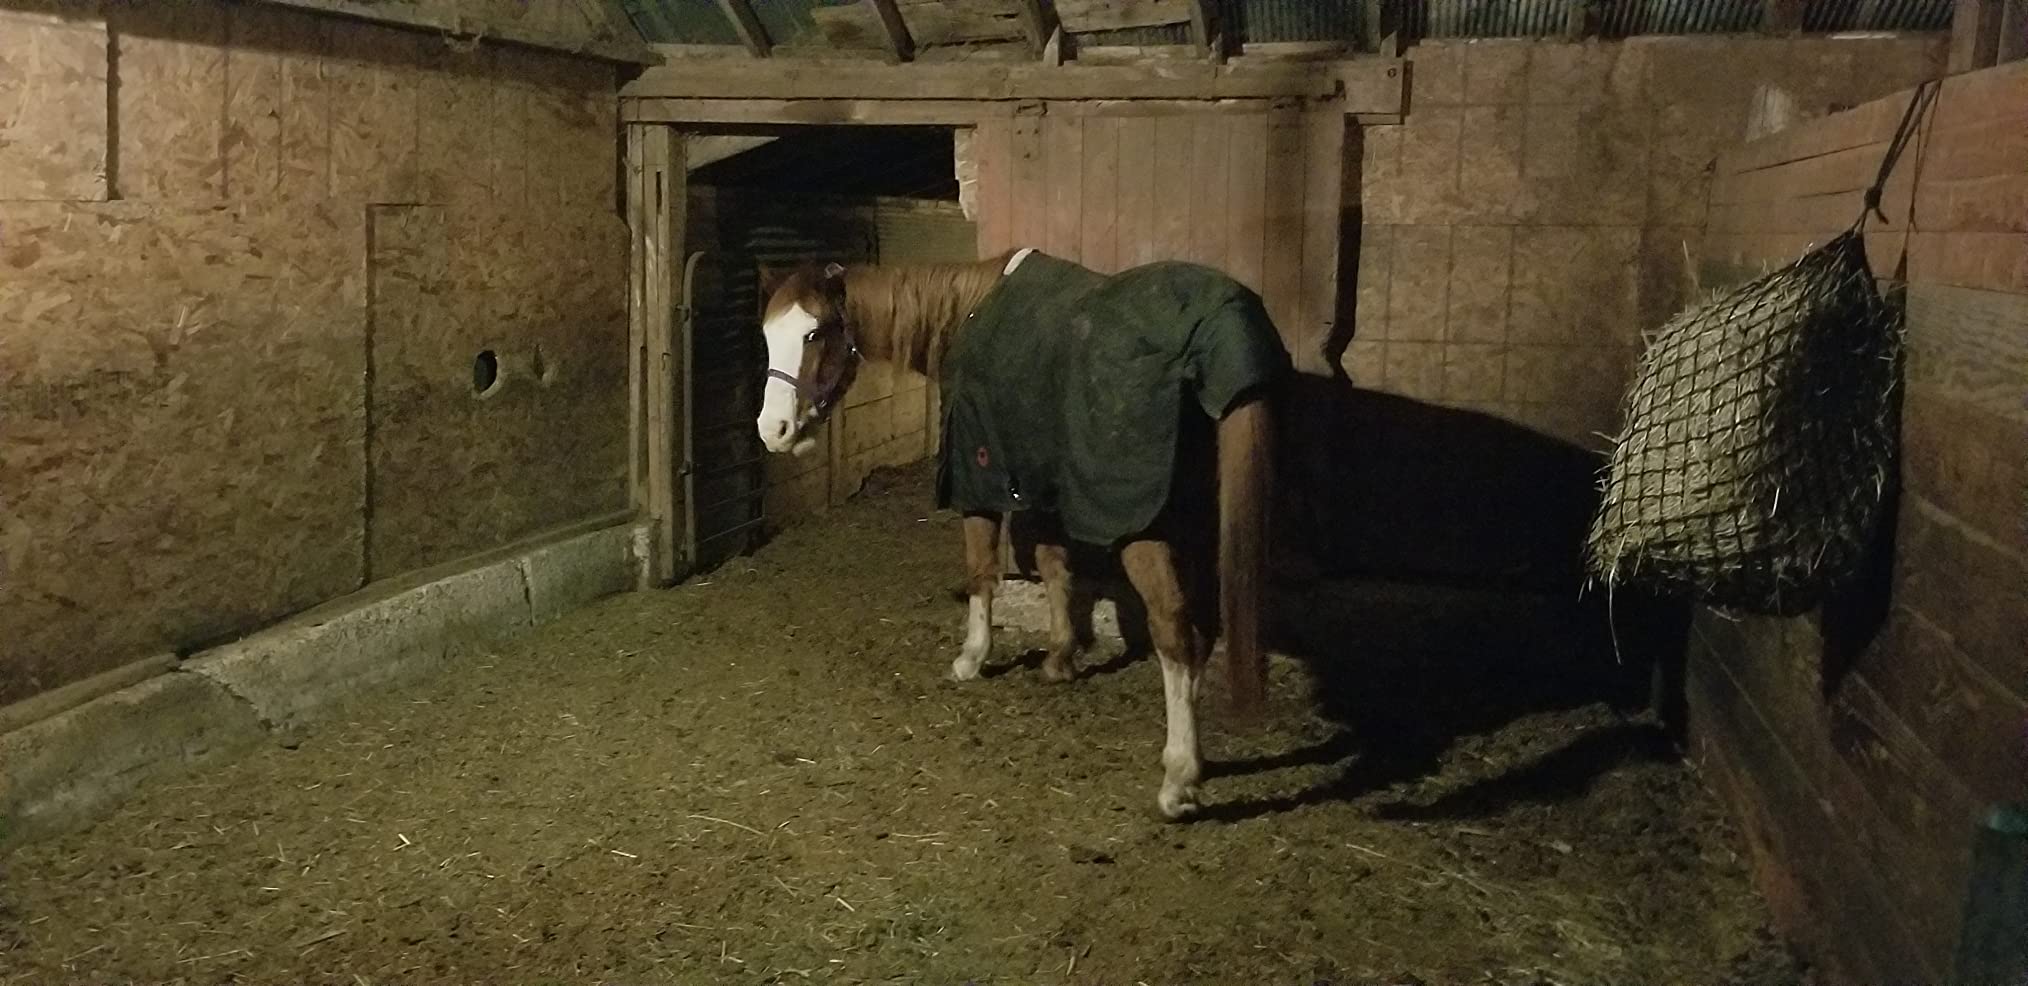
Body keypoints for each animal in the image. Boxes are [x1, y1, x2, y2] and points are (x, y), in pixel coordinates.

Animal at [754, 247, 1288, 819]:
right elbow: (1056, 568)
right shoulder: (1040, 479)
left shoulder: (979, 477)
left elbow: (982, 570)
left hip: (1142, 525)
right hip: (1197, 521)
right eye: (767, 335)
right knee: (1203, 626)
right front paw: (1059, 659)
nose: (772, 431)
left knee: (1173, 630)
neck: (967, 313)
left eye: (813, 333)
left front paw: (971, 657)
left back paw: (1179, 778)